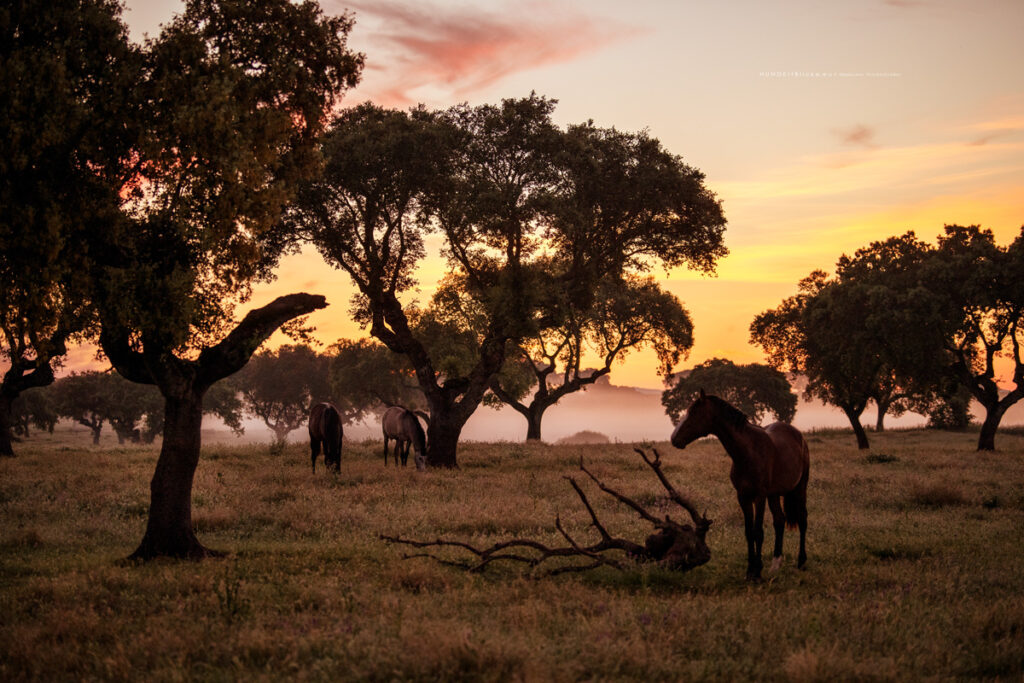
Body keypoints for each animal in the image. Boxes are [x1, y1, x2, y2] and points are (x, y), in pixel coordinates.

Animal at [667, 393, 811, 581]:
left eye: (694, 413)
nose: (674, 438)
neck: (748, 451)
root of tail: (798, 435)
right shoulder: (743, 496)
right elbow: (749, 532)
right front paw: (750, 571)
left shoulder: (759, 497)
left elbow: (758, 532)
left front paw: (757, 572)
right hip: (773, 494)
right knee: (779, 520)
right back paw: (775, 564)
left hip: (800, 488)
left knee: (802, 519)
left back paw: (801, 562)